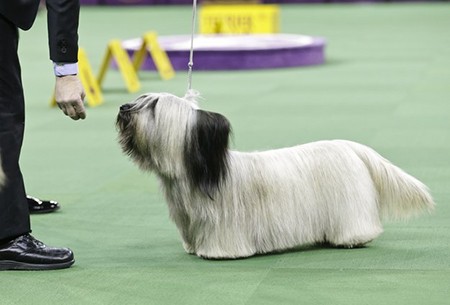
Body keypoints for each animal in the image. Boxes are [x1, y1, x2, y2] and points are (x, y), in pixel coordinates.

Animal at [117, 90, 436, 258]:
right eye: (142, 97)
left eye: (153, 106)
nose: (123, 108)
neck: (196, 172)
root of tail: (352, 147)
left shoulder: (224, 225)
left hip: (349, 204)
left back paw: (353, 238)